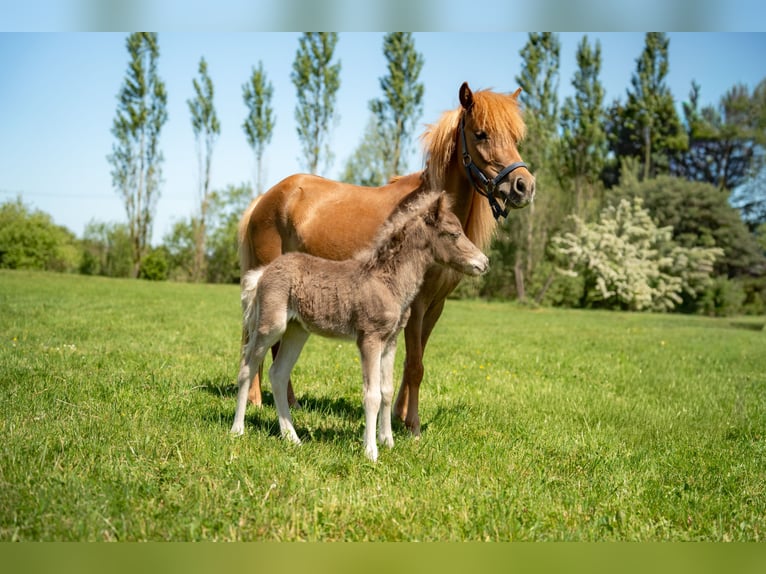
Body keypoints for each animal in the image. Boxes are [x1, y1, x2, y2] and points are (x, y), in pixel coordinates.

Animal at [231, 191, 489, 461]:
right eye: (453, 233)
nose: (484, 262)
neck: (387, 280)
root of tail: (262, 274)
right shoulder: (369, 339)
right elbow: (372, 394)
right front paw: (371, 451)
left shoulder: (390, 341)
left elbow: (387, 391)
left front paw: (388, 442)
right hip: (271, 326)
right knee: (247, 367)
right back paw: (238, 429)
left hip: (296, 331)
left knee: (278, 374)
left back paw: (292, 438)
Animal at [238, 82, 535, 436]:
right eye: (481, 134)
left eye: (515, 137)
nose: (523, 186)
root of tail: (264, 199)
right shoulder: (416, 306)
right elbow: (415, 364)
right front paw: (413, 426)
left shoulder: (434, 307)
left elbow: (413, 365)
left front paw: (399, 416)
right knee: (260, 344)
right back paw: (257, 400)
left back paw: (291, 401)